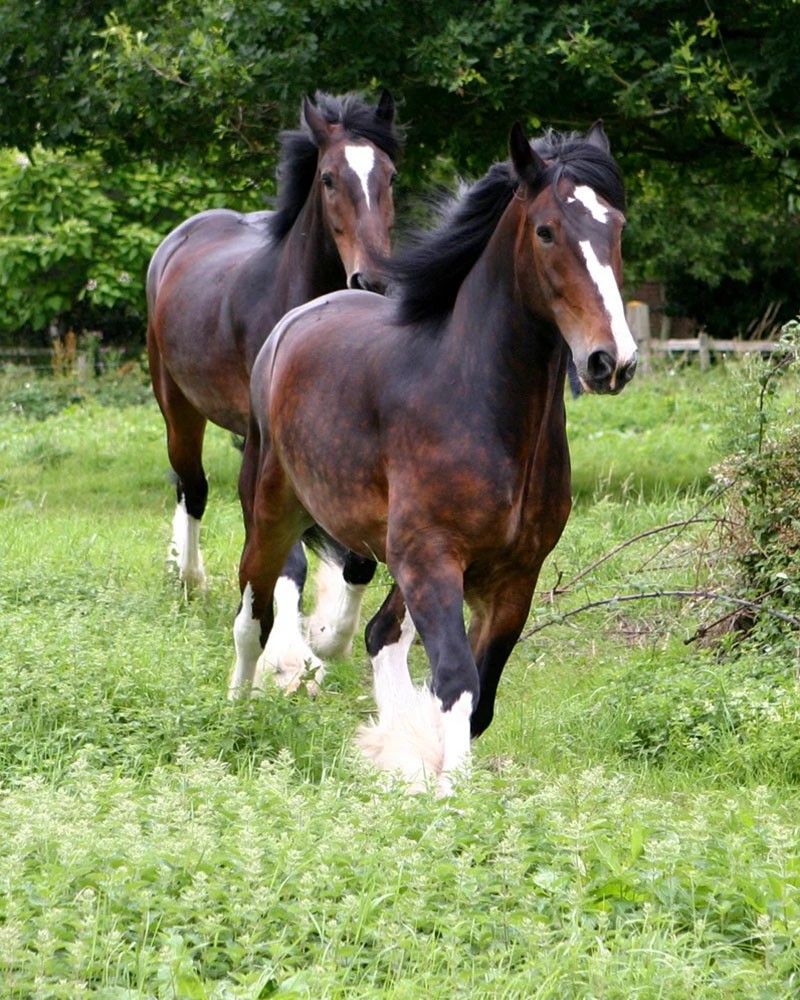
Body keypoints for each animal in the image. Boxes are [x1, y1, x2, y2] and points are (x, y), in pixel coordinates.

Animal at [231, 119, 636, 788]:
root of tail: (292, 325)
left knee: (379, 633)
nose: (612, 361)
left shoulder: (513, 576)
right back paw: (239, 711)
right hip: (274, 513)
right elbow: (456, 680)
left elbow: (481, 696)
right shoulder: (434, 557)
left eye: (617, 228)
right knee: (253, 615)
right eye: (546, 230)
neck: (474, 403)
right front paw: (449, 791)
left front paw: (421, 767)